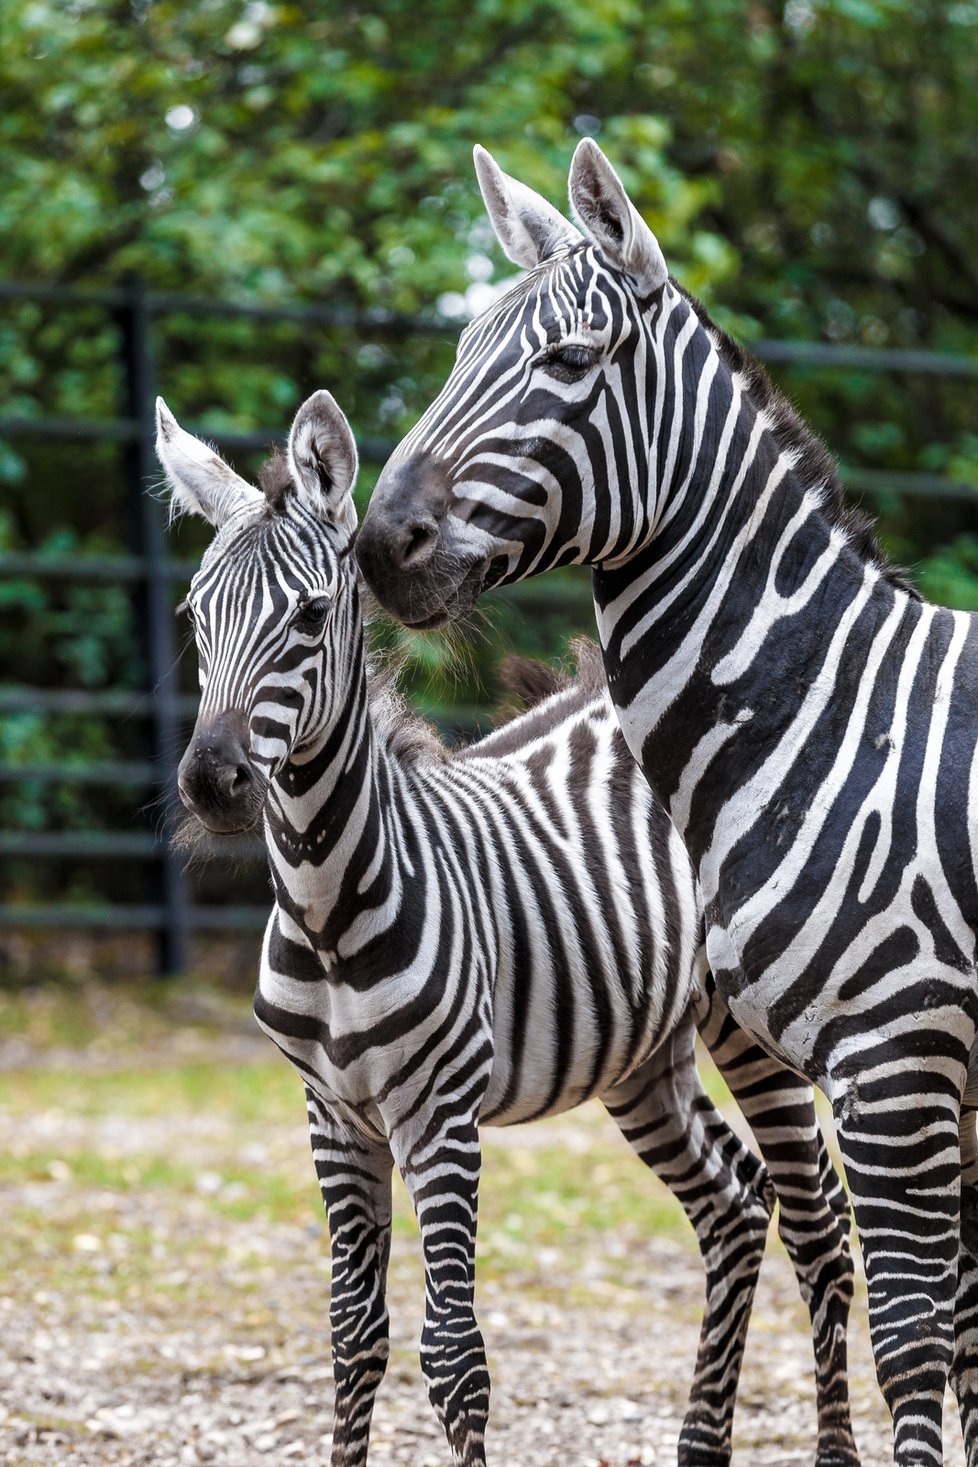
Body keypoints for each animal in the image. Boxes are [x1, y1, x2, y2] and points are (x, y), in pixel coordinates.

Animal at [156, 390, 862, 1467]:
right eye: (196, 615)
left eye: (311, 616)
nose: (212, 783)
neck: (327, 909)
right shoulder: (332, 1115)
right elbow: (352, 1337)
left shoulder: (440, 1113)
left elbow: (454, 1357)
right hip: (638, 1057)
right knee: (735, 1202)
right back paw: (700, 1439)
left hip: (748, 1029)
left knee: (818, 1226)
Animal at [356, 140, 978, 1467]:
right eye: (457, 352)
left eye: (570, 362)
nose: (381, 548)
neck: (831, 713)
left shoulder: (900, 1062)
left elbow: (920, 1342)